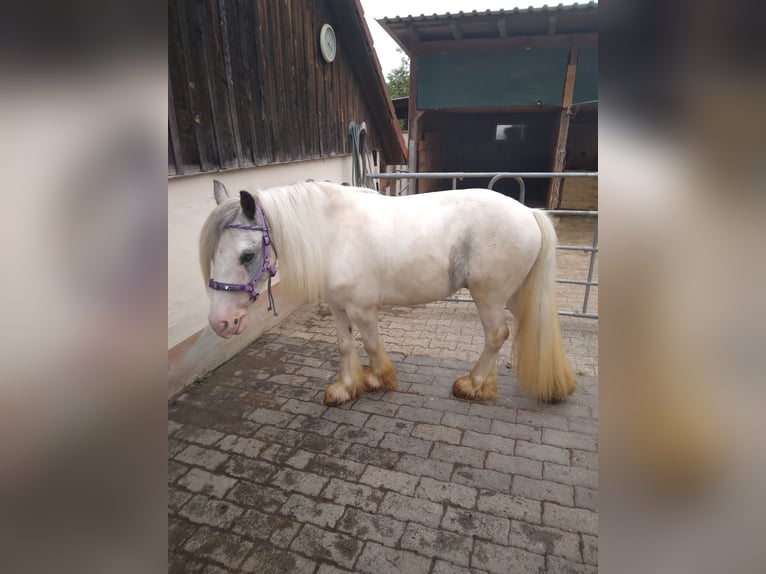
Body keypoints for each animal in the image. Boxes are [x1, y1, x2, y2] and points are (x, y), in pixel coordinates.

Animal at [198, 182, 576, 408]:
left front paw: (378, 378)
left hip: (489, 296)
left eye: (247, 255)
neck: (332, 234)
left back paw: (473, 384)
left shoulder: (362, 308)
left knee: (497, 335)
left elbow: (371, 344)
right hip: (512, 294)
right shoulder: (337, 307)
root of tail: (528, 212)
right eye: (213, 254)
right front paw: (345, 387)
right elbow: (344, 345)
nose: (221, 322)